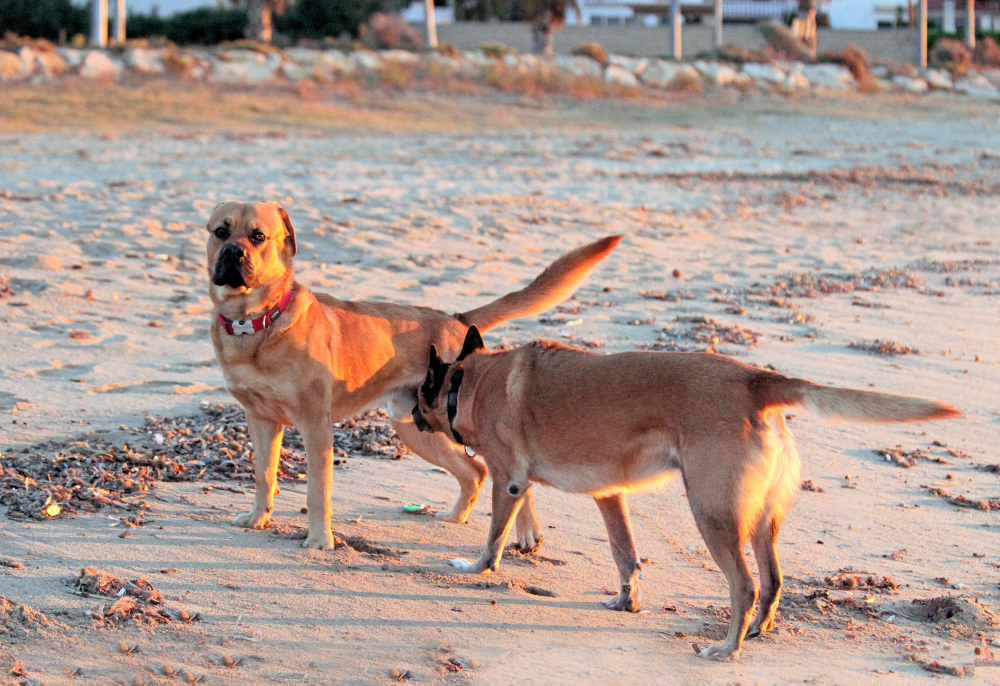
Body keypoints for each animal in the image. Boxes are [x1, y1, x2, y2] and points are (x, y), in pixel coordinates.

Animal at [414, 330, 960, 664]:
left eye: (420, 390)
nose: (411, 413)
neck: (471, 381)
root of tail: (754, 380)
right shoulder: (610, 496)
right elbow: (625, 555)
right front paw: (626, 602)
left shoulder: (508, 482)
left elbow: (492, 540)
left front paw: (475, 568)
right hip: (759, 521)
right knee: (773, 579)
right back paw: (757, 632)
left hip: (712, 514)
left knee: (745, 585)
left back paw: (727, 649)